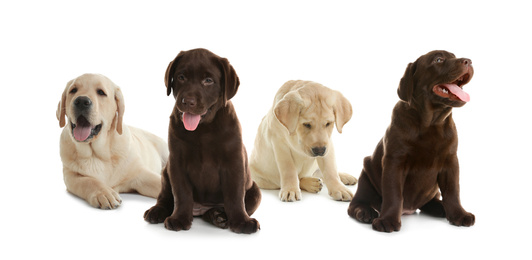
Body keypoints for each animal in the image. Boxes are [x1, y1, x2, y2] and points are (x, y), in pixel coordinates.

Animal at [57, 73, 167, 209]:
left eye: (101, 92)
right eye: (73, 90)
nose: (81, 101)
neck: (96, 153)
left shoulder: (140, 174)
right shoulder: (70, 175)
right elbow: (89, 181)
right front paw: (104, 193)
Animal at [144, 48, 260, 234]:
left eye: (208, 81)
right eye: (181, 77)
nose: (188, 101)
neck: (202, 129)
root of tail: (200, 209)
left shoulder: (234, 162)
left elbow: (235, 195)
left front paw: (241, 222)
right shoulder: (177, 162)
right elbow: (181, 193)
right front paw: (179, 218)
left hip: (255, 190)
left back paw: (218, 216)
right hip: (166, 173)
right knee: (165, 197)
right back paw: (157, 211)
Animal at [348, 49, 476, 233]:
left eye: (454, 56)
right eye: (439, 59)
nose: (469, 61)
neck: (432, 123)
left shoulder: (451, 161)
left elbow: (453, 191)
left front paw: (459, 214)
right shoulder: (395, 161)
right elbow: (393, 193)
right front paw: (387, 220)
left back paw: (440, 207)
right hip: (366, 174)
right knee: (356, 203)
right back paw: (365, 212)